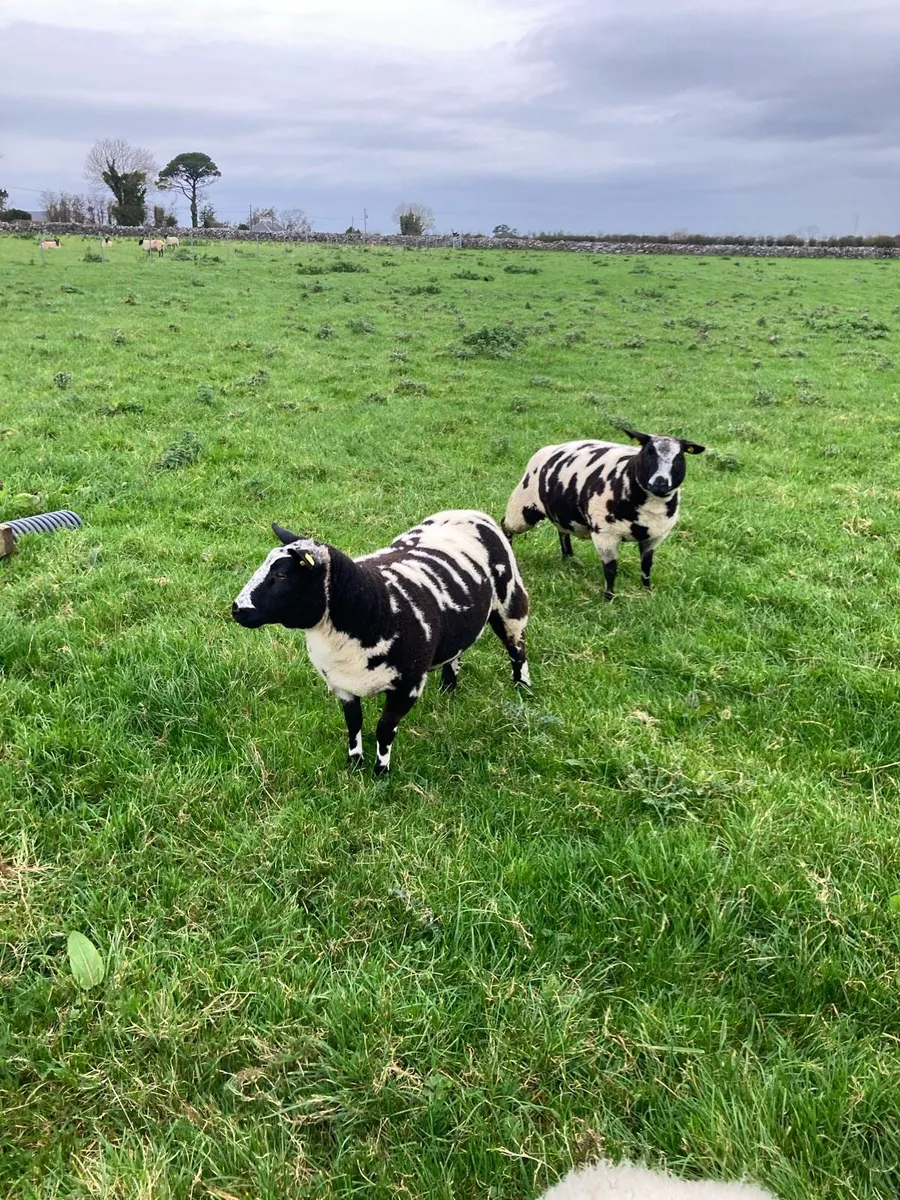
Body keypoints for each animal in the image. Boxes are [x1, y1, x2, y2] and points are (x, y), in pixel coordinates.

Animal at [232, 510, 530, 774]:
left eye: (282, 575)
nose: (236, 609)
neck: (372, 606)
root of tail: (469, 512)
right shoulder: (342, 684)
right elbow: (354, 723)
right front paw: (354, 763)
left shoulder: (407, 687)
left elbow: (384, 730)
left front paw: (380, 772)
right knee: (457, 652)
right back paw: (448, 689)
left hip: (510, 602)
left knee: (517, 648)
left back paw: (523, 690)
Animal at [502, 428, 705, 600]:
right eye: (648, 452)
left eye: (679, 457)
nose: (660, 482)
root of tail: (546, 449)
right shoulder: (605, 533)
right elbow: (610, 569)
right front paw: (609, 599)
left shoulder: (654, 536)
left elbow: (647, 565)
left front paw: (647, 592)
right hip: (522, 506)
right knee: (506, 526)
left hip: (562, 511)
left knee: (562, 530)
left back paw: (569, 558)